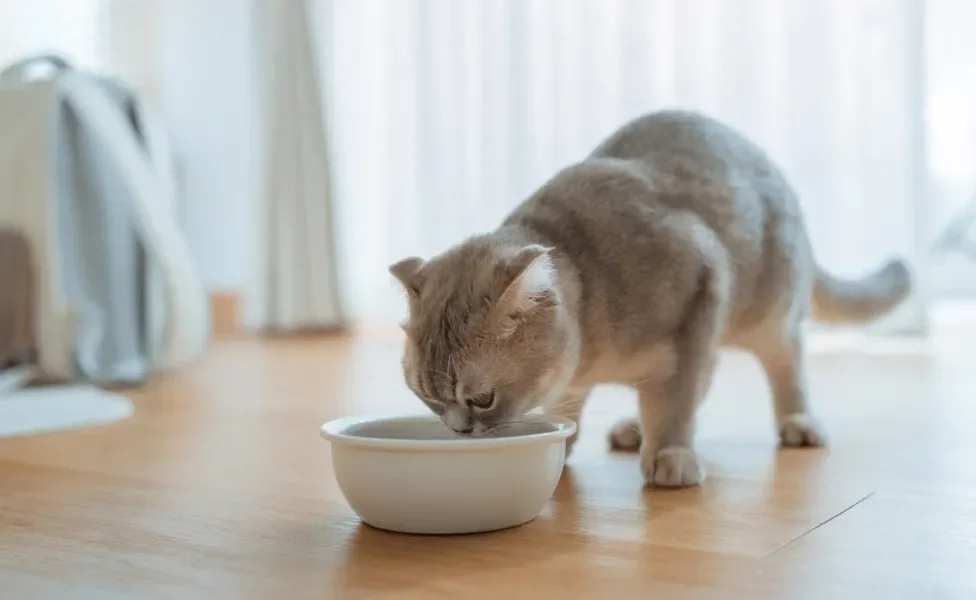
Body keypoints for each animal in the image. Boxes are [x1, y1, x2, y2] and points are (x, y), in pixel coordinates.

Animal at [386, 111, 908, 488]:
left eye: (481, 398)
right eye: (427, 397)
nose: (458, 429)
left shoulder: (700, 288)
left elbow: (675, 400)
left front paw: (671, 453)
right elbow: (573, 408)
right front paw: (572, 441)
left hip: (770, 314)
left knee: (786, 365)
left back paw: (798, 421)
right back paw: (633, 427)